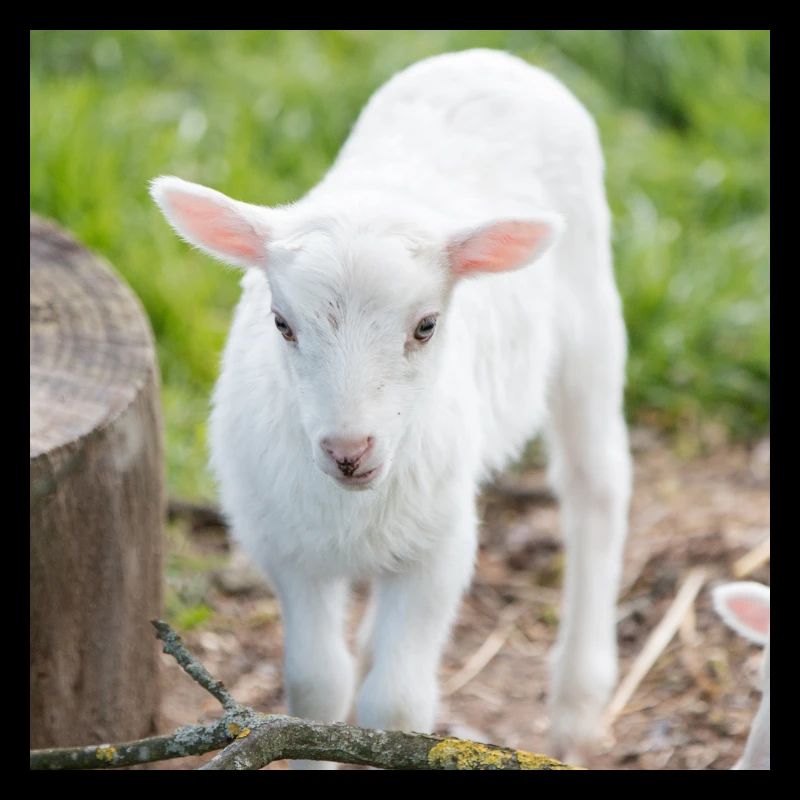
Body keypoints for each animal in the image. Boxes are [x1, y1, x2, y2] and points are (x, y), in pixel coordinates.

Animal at [150, 48, 632, 768]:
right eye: (282, 323)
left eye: (427, 326)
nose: (349, 451)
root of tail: (489, 57)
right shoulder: (286, 544)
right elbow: (316, 688)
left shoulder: (441, 548)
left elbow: (397, 707)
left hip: (590, 321)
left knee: (594, 486)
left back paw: (577, 701)